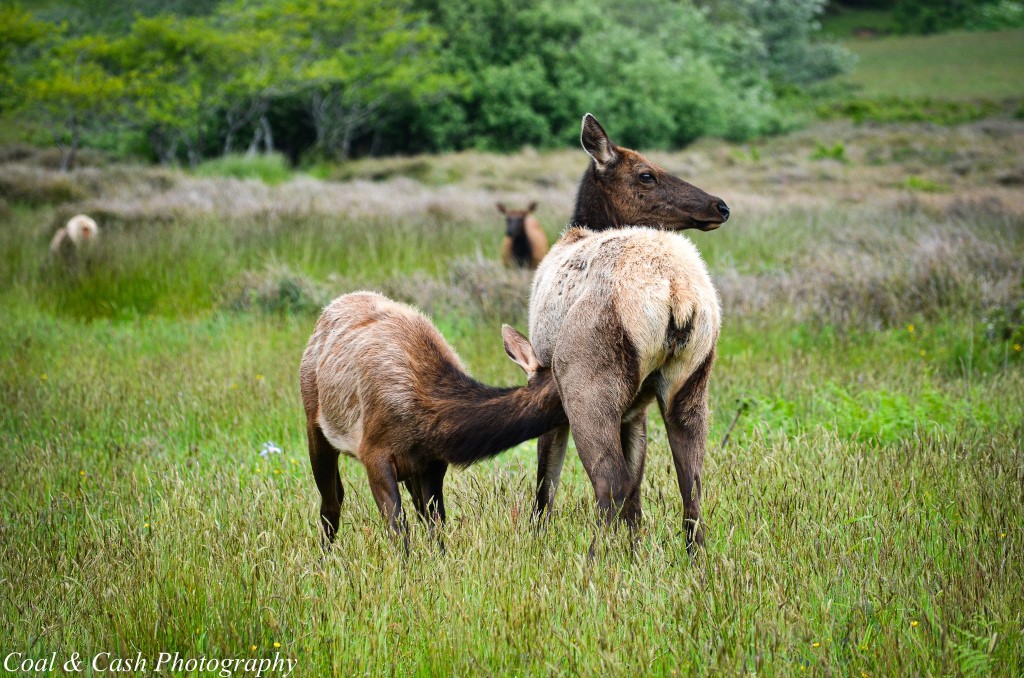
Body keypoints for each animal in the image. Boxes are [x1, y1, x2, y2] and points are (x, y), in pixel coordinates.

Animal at [300, 291, 567, 549]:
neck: (430, 423)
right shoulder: (373, 451)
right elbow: (398, 528)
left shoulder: (432, 462)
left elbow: (436, 524)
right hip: (314, 422)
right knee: (331, 503)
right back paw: (323, 555)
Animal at [528, 114, 728, 552]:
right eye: (646, 174)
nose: (720, 205)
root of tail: (677, 291)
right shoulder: (637, 408)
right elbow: (637, 497)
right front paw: (635, 550)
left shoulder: (543, 373)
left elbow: (545, 479)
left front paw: (535, 538)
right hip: (691, 381)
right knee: (691, 490)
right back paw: (695, 560)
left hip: (588, 381)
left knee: (609, 484)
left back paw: (593, 561)